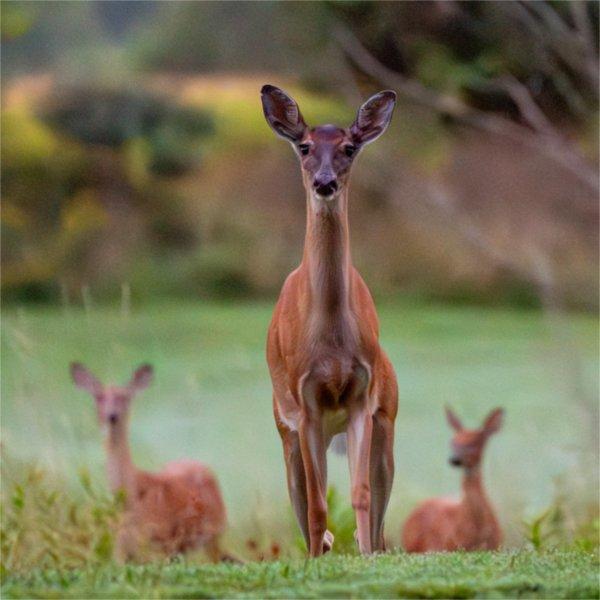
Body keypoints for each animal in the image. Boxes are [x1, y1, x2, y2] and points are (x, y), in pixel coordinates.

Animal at [69, 360, 227, 564]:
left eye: (124, 397)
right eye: (99, 396)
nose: (112, 416)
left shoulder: (162, 538)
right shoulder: (121, 549)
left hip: (212, 534)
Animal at [262, 84, 398, 556]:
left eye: (349, 148)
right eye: (304, 146)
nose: (325, 182)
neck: (333, 343)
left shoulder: (362, 397)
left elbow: (360, 495)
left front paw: (366, 556)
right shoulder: (306, 404)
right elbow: (317, 503)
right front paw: (318, 559)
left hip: (386, 420)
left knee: (379, 510)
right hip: (285, 426)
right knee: (302, 502)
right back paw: (317, 549)